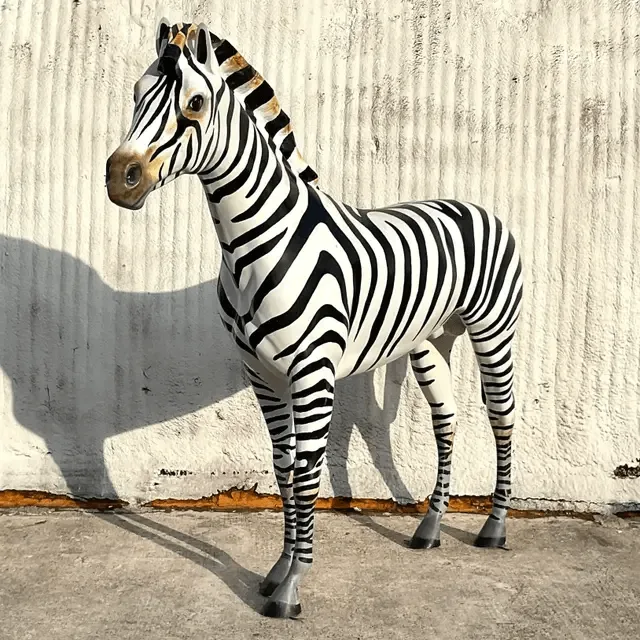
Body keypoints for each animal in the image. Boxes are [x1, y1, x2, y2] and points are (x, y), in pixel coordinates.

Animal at [106, 21, 524, 619]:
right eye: (137, 94)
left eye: (195, 103)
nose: (120, 177)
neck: (258, 243)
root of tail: (473, 205)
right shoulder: (261, 372)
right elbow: (283, 467)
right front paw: (278, 568)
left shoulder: (312, 372)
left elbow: (306, 473)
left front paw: (292, 586)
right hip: (428, 342)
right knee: (446, 424)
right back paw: (429, 527)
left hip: (494, 330)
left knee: (502, 419)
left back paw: (494, 527)